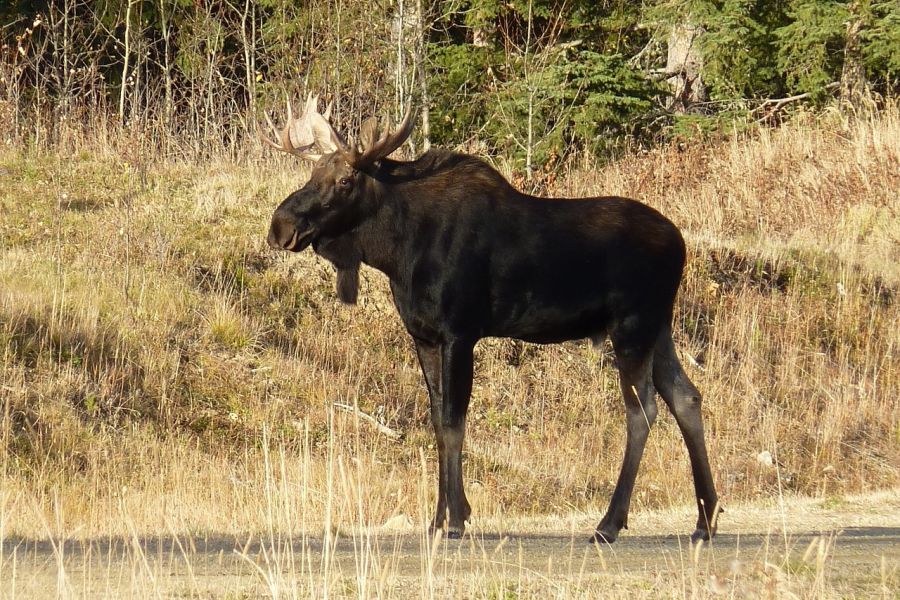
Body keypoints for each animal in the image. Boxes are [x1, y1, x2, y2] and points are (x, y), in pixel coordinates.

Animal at [260, 95, 716, 544]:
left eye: (344, 181)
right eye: (313, 171)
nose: (280, 225)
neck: (397, 251)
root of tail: (681, 244)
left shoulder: (460, 332)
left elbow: (453, 421)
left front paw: (457, 519)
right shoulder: (424, 336)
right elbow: (436, 420)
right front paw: (438, 519)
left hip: (633, 326)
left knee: (643, 410)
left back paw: (609, 523)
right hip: (660, 328)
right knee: (686, 397)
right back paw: (705, 518)